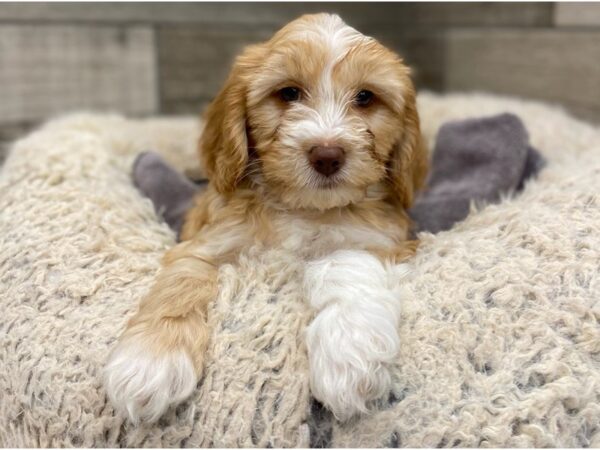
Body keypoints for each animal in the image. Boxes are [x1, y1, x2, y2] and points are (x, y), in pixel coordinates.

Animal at [104, 13, 426, 422]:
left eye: (365, 98)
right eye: (288, 93)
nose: (327, 155)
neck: (302, 208)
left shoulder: (383, 242)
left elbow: (345, 260)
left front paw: (349, 355)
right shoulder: (205, 243)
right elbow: (181, 283)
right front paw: (149, 362)